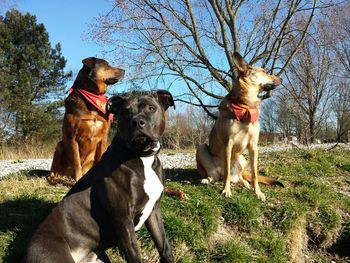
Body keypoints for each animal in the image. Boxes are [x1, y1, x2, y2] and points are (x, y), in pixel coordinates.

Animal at [22, 91, 174, 263]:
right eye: (124, 112)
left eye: (151, 108)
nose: (137, 122)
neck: (142, 157)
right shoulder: (123, 219)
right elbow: (134, 254)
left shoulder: (154, 212)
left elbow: (164, 246)